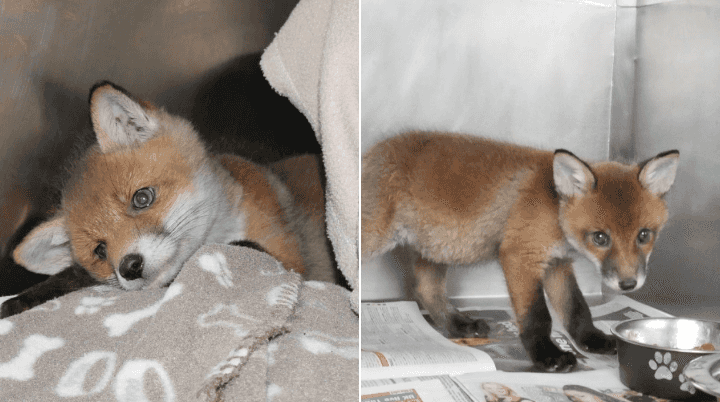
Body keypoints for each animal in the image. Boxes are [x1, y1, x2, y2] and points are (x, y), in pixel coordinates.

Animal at [1, 81, 335, 317]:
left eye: (142, 198)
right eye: (100, 250)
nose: (129, 267)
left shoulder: (288, 259)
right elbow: (70, 278)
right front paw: (22, 301)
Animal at [362, 131, 679, 372]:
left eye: (644, 235)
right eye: (600, 238)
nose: (628, 284)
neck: (555, 212)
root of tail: (374, 150)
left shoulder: (557, 263)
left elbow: (576, 308)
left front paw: (592, 339)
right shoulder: (520, 256)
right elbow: (538, 316)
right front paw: (547, 355)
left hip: (438, 248)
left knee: (425, 289)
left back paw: (459, 325)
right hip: (376, 238)